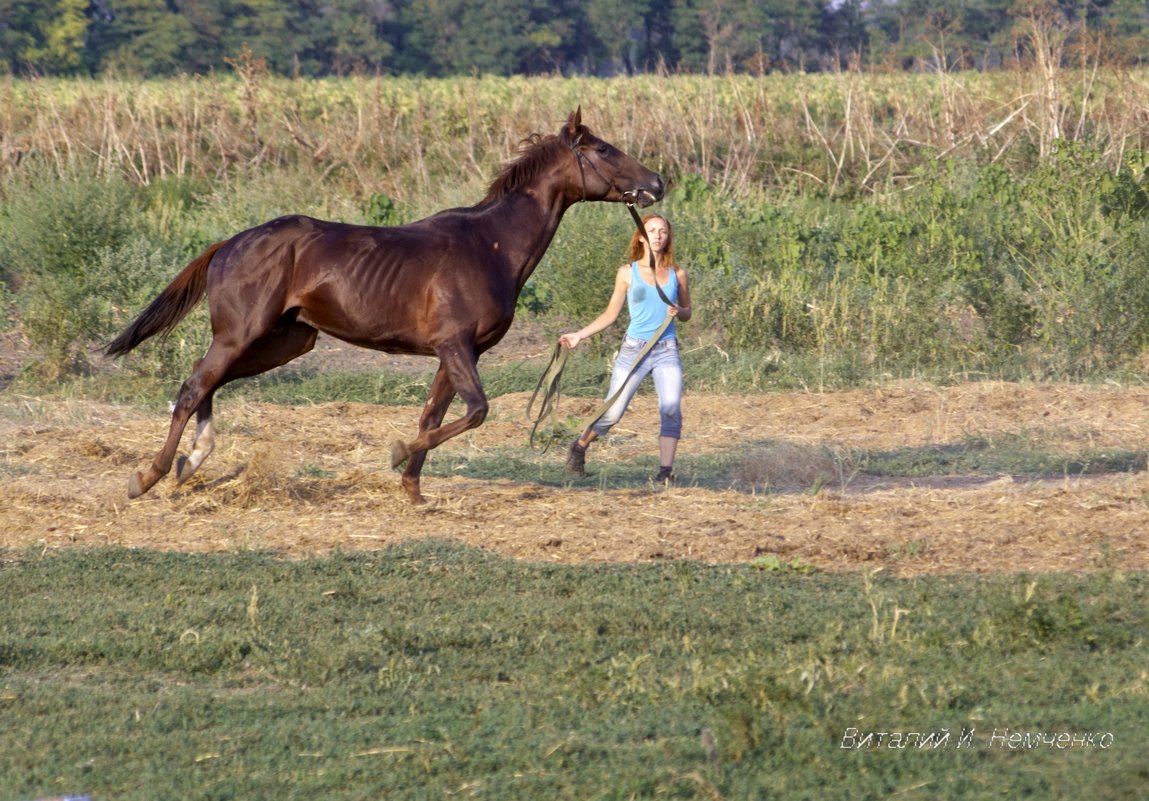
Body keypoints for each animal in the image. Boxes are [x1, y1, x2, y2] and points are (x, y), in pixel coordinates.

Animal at [109, 109, 666, 503]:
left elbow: (433, 416)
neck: (490, 245)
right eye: (604, 148)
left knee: (207, 383)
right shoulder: (455, 346)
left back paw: (192, 462)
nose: (657, 183)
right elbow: (476, 411)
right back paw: (151, 475)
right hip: (242, 334)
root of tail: (229, 243)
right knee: (194, 386)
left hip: (286, 341)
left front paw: (413, 490)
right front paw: (397, 456)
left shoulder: (457, 353)